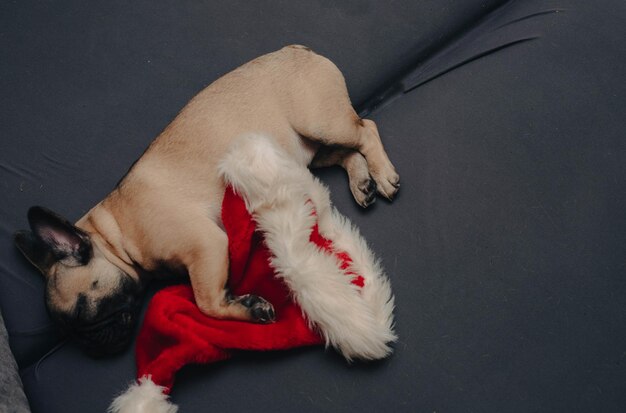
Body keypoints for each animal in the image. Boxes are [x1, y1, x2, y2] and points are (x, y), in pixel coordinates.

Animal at [13, 44, 394, 354]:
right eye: (68, 333)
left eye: (84, 312)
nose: (91, 345)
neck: (116, 234)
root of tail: (295, 49)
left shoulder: (207, 245)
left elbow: (205, 302)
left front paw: (251, 308)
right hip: (310, 148)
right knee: (348, 152)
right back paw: (362, 181)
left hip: (321, 123)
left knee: (366, 129)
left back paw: (383, 173)